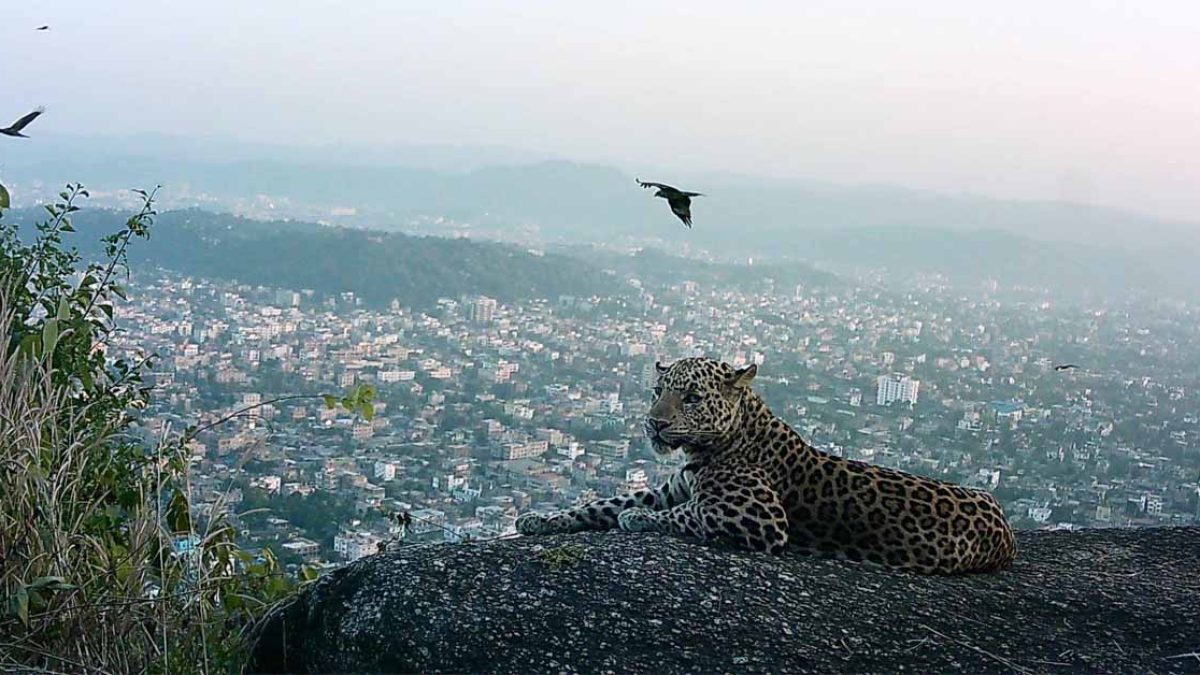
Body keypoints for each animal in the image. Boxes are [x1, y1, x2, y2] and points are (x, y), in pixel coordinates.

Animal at [516, 357, 1017, 574]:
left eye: (691, 397)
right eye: (658, 391)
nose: (654, 423)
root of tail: (1007, 531)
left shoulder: (760, 518)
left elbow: (688, 513)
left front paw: (637, 519)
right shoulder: (668, 488)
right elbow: (600, 504)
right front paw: (540, 520)